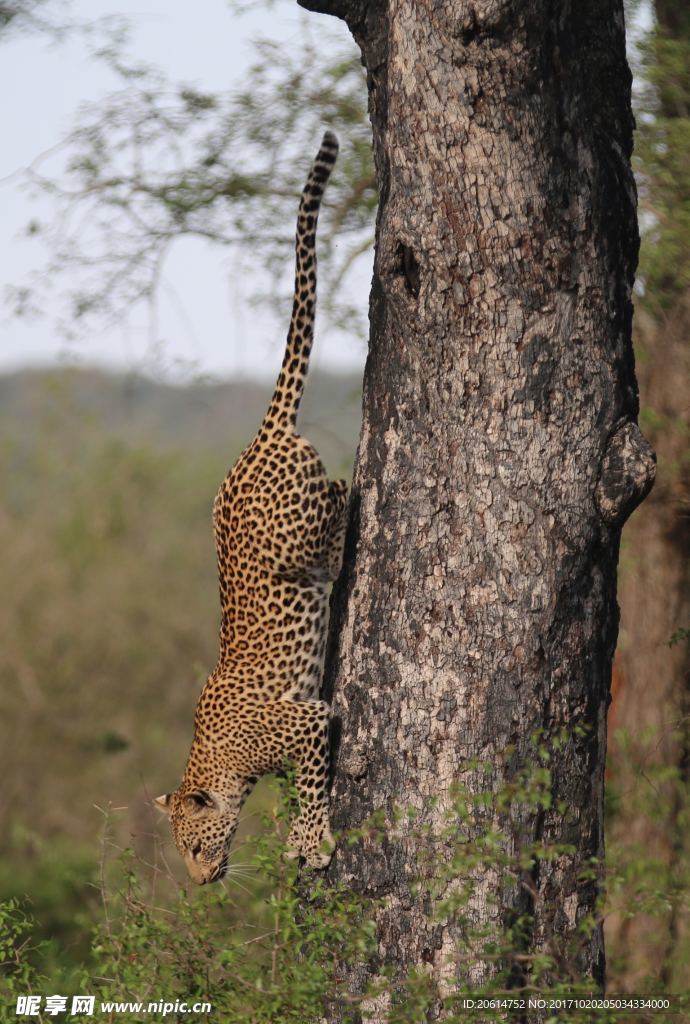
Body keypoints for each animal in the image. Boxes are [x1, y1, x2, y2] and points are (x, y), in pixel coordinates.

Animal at [156, 130, 350, 880]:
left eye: (194, 846)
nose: (201, 884)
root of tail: (258, 437)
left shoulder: (313, 718)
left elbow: (317, 781)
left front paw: (310, 839)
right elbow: (302, 782)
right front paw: (302, 833)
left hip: (298, 530)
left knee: (340, 495)